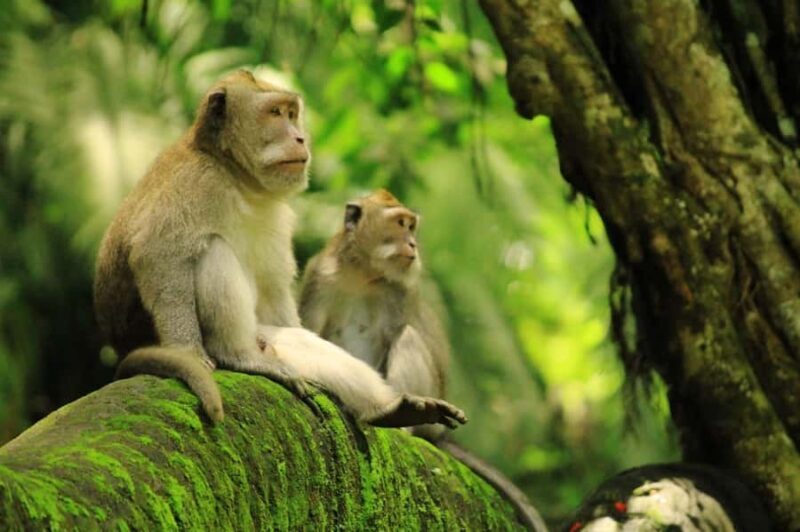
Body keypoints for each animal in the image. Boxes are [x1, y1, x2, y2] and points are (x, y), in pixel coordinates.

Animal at [94, 71, 467, 431]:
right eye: (274, 113)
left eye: (291, 113)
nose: (300, 139)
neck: (234, 176)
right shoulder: (192, 184)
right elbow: (157, 257)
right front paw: (188, 351)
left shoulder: (277, 214)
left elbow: (274, 290)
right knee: (213, 250)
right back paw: (240, 355)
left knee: (300, 344)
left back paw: (390, 410)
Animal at [298, 189, 547, 531]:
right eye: (400, 223)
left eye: (412, 226)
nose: (413, 244)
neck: (365, 273)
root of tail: (440, 434)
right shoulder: (320, 275)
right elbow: (308, 333)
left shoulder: (402, 291)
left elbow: (393, 337)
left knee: (407, 337)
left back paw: (403, 420)